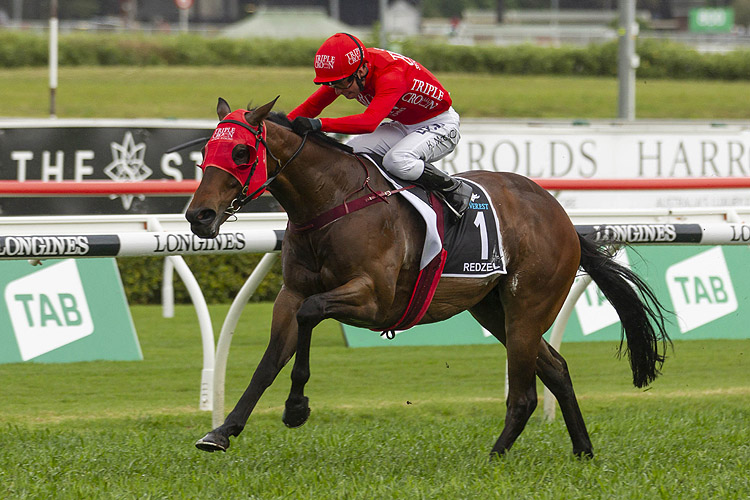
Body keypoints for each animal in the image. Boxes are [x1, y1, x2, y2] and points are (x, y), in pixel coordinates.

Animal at [185, 95, 672, 458]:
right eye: (206, 151)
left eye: (242, 152)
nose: (198, 216)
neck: (333, 200)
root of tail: (563, 217)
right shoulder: (290, 292)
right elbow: (269, 361)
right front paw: (222, 431)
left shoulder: (373, 299)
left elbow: (311, 312)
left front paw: (296, 406)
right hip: (494, 309)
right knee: (556, 369)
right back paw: (583, 449)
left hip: (527, 307)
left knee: (526, 393)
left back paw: (493, 456)